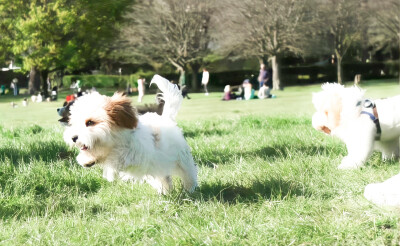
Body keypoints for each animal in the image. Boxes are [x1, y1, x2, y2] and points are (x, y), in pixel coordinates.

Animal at [63, 75, 198, 194]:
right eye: (74, 123)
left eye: (90, 122)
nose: (73, 138)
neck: (116, 142)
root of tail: (166, 118)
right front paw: (86, 159)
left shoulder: (134, 153)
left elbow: (116, 159)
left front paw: (109, 171)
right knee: (163, 177)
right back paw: (165, 191)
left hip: (182, 158)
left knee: (188, 173)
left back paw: (190, 189)